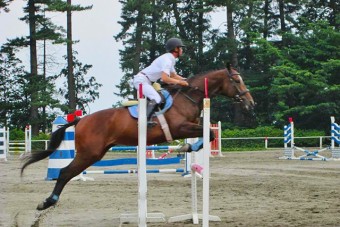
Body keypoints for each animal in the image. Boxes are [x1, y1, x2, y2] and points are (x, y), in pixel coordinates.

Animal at [20, 66, 255, 211]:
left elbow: (209, 133)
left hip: (95, 153)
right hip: (89, 153)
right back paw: (47, 202)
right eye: (236, 80)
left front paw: (187, 149)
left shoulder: (190, 127)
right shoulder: (180, 128)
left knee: (67, 173)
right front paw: (186, 148)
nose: (250, 103)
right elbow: (210, 133)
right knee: (64, 173)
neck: (189, 96)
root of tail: (81, 120)